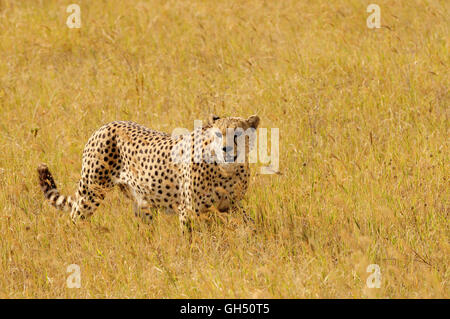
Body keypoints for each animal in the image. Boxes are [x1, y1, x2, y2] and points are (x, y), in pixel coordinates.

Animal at [38, 115, 260, 232]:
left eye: (238, 134)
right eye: (218, 134)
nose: (225, 148)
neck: (227, 170)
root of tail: (105, 125)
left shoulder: (232, 205)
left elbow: (249, 223)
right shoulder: (188, 210)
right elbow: (190, 237)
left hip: (141, 201)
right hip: (91, 192)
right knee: (75, 215)